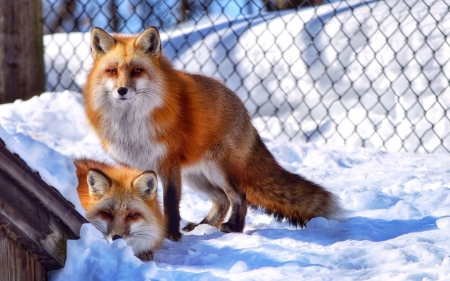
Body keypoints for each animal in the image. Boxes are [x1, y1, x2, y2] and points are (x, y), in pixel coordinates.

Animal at [84, 26, 342, 241]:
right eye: (111, 71)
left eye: (137, 70)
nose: (122, 90)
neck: (131, 126)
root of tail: (245, 111)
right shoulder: (134, 165)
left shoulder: (168, 163)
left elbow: (170, 203)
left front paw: (171, 236)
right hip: (195, 175)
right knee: (222, 199)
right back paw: (203, 226)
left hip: (220, 170)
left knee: (239, 196)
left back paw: (234, 227)